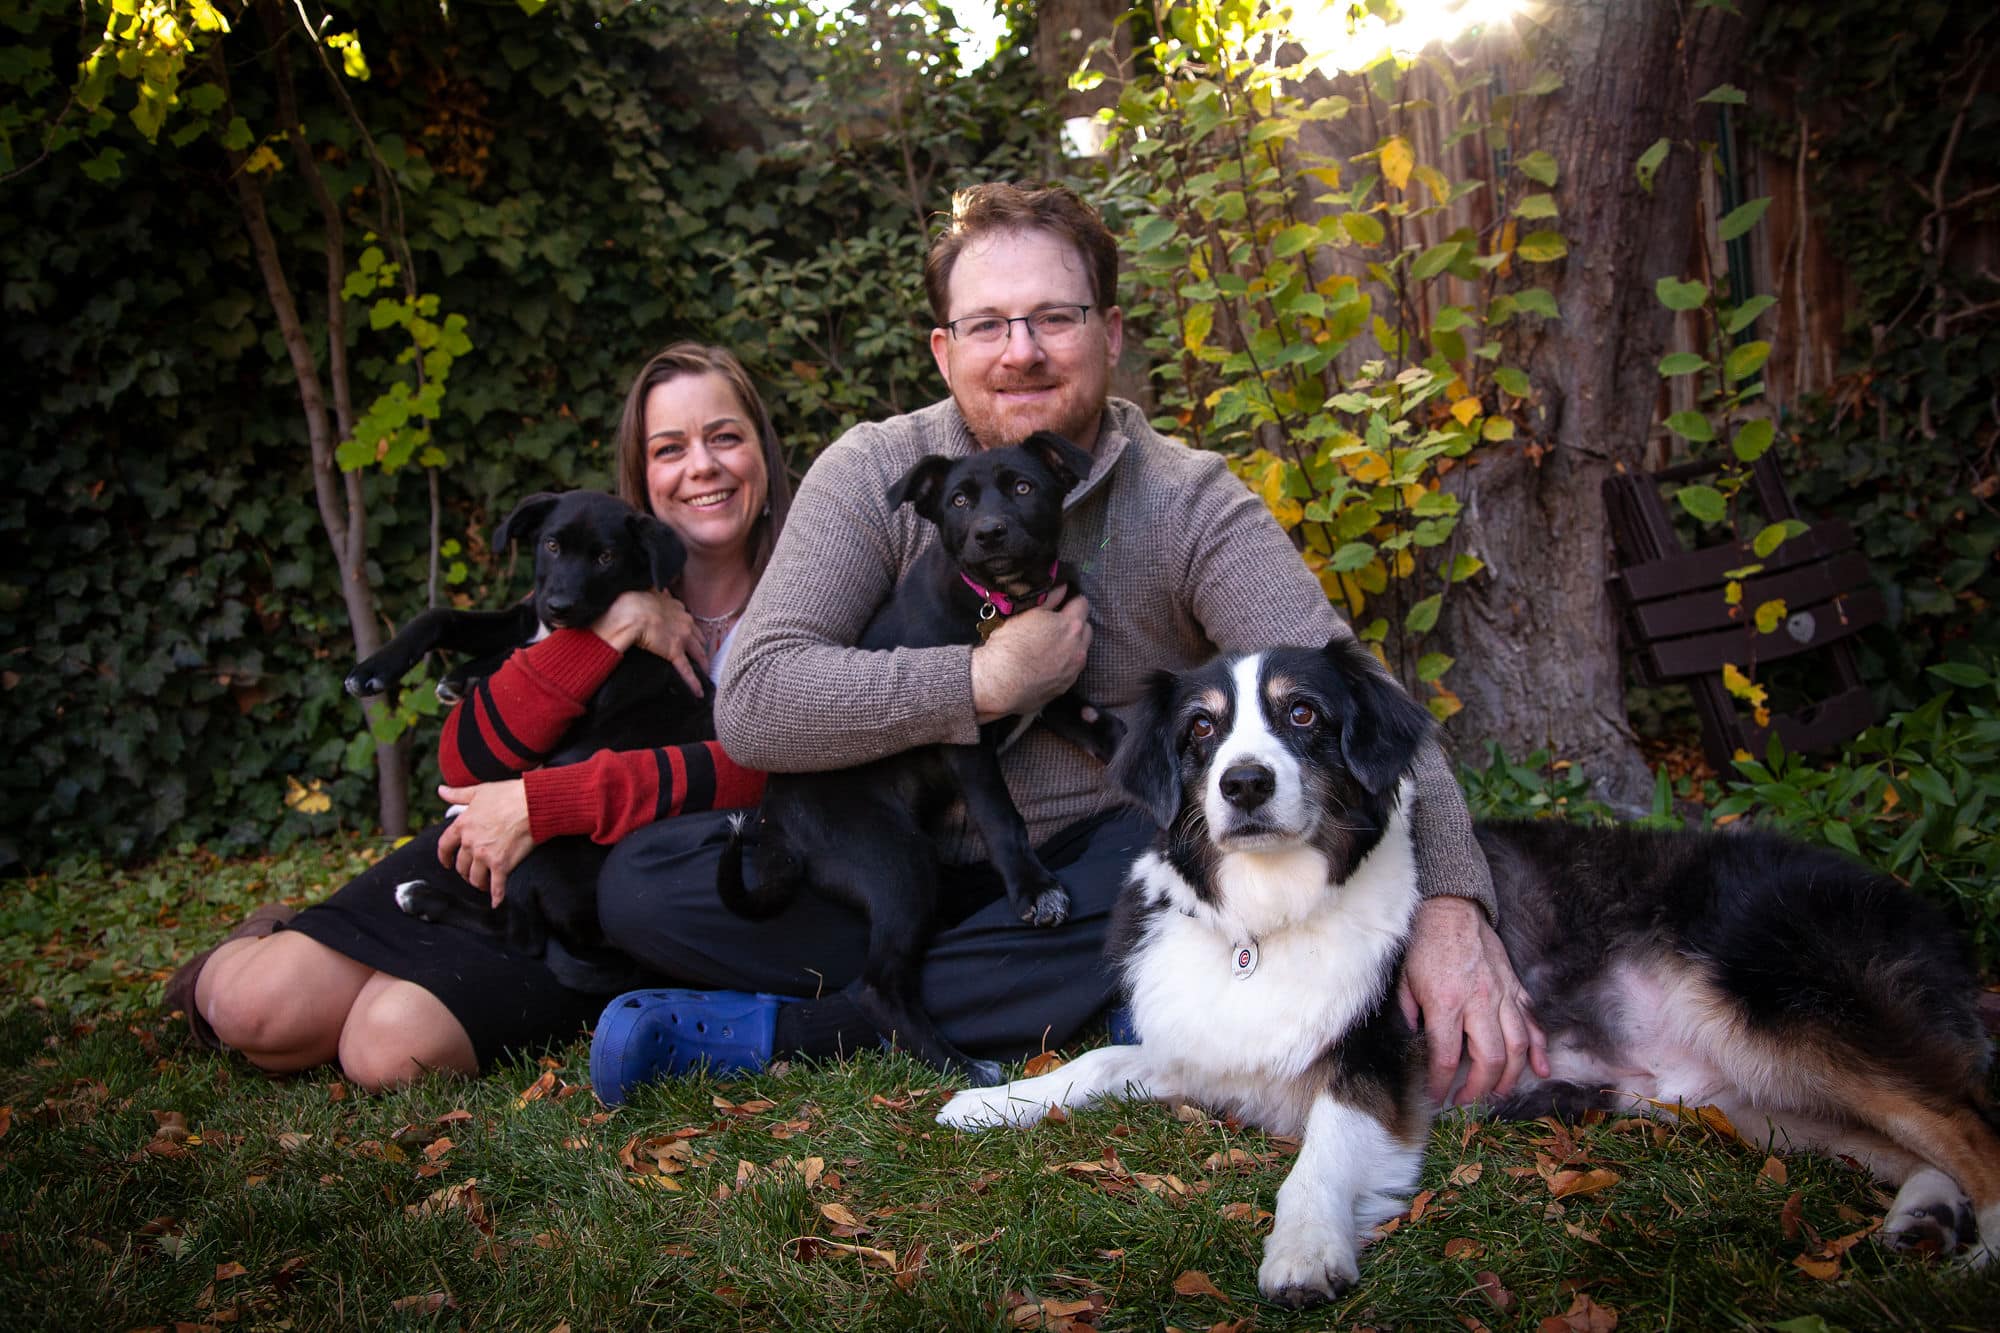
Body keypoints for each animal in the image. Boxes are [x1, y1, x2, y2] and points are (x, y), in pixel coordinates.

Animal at [348, 488, 716, 984]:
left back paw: (422, 896)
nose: (559, 605)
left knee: (520, 936)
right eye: (552, 545)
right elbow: (442, 617)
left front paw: (466, 677)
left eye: (606, 557)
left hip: (540, 844)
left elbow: (519, 660)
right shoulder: (524, 614)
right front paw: (381, 670)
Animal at [720, 434, 1128, 1080]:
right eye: (959, 500)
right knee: (877, 987)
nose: (989, 533)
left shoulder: (1053, 694)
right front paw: (1035, 890)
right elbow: (1002, 818)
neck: (1006, 603)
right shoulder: (967, 738)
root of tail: (776, 820)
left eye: (1023, 487)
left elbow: (1108, 727)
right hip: (895, 860)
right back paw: (965, 1068)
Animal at [940, 632, 2000, 1296]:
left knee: (1969, 1122)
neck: (1269, 919)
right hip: (1760, 1097)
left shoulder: (1377, 1064)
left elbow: (1320, 1158)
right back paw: (1922, 1220)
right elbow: (1098, 1059)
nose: (1243, 782)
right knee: (1915, 1140)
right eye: (1201, 728)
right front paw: (991, 1101)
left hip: (1785, 1008)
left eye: (1304, 716)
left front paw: (1304, 1250)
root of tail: (1922, 904)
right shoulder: (1198, 1042)